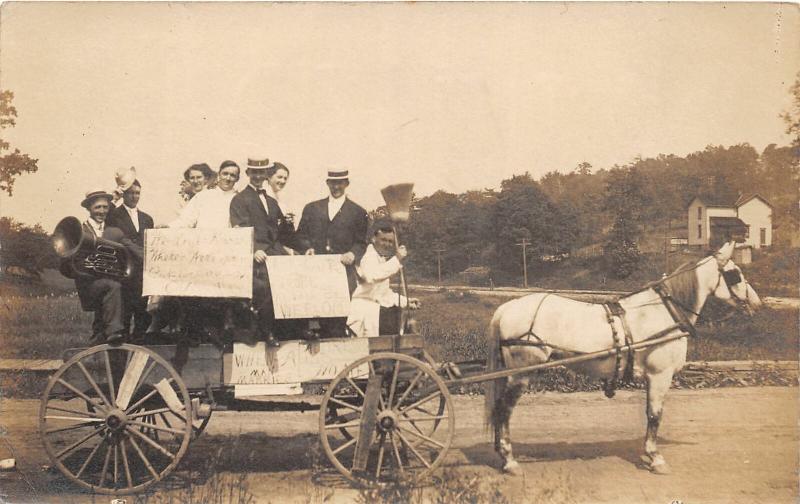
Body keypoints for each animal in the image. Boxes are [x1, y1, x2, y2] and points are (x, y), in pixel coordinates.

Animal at [484, 240, 760, 476]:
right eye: (735, 273)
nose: (756, 303)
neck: (663, 311)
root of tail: (506, 309)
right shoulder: (660, 376)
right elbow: (655, 415)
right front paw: (655, 458)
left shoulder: (652, 378)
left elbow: (650, 414)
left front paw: (649, 455)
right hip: (521, 374)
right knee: (504, 411)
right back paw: (510, 461)